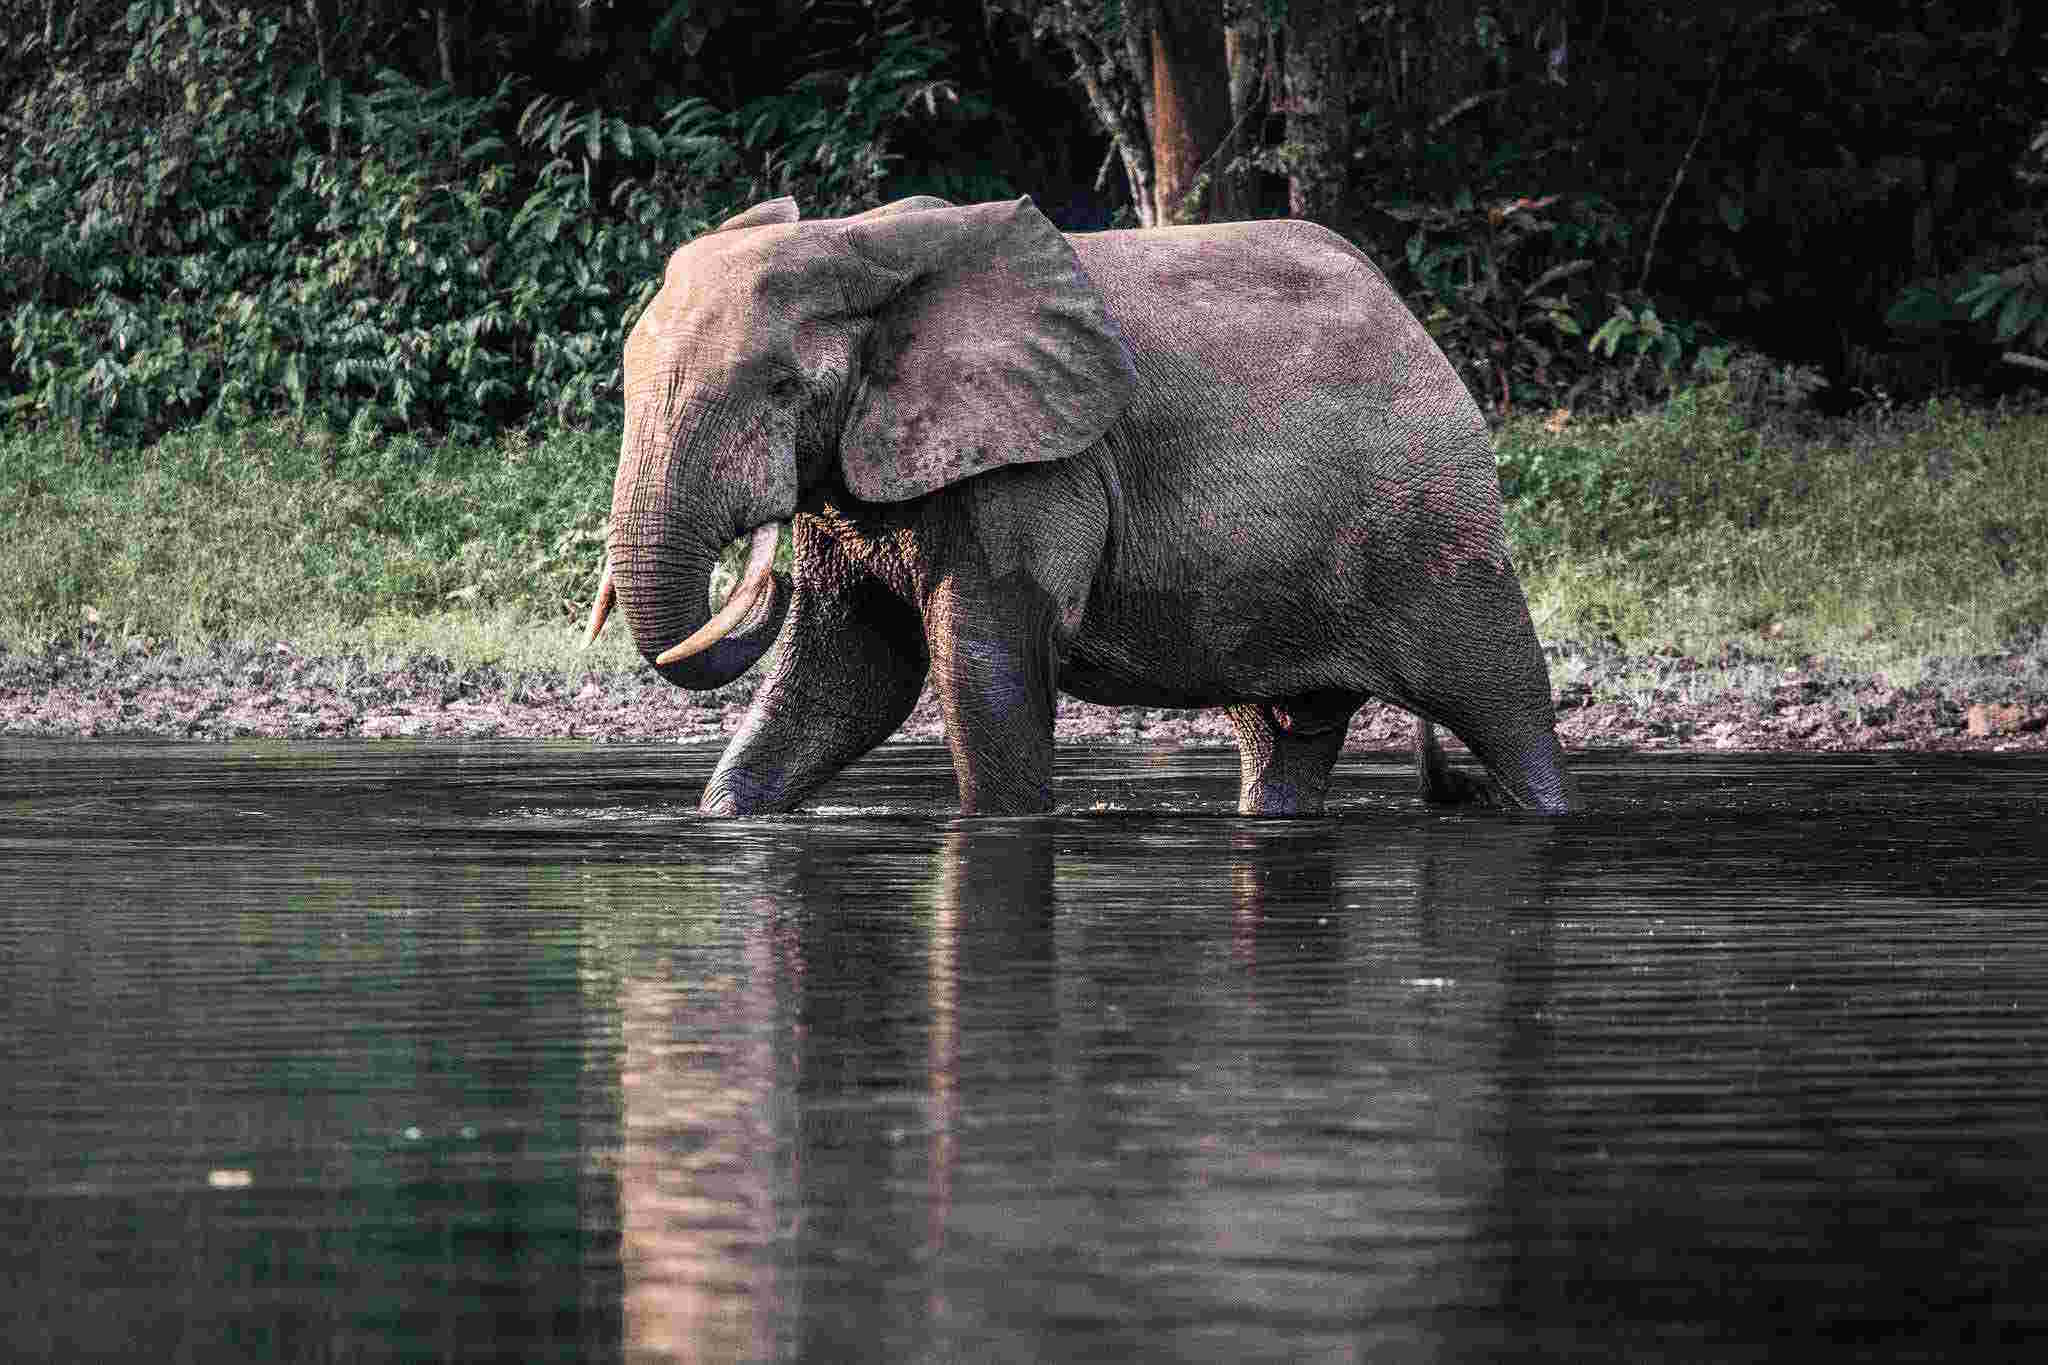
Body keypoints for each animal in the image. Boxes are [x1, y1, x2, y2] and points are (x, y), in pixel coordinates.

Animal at [580, 194, 1578, 817]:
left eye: (782, 388)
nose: (764, 577)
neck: (859, 242)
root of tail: (1417, 326)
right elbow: (851, 671)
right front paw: (725, 816)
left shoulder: (1036, 467)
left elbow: (983, 657)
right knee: (1284, 736)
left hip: (1439, 529)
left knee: (1505, 703)